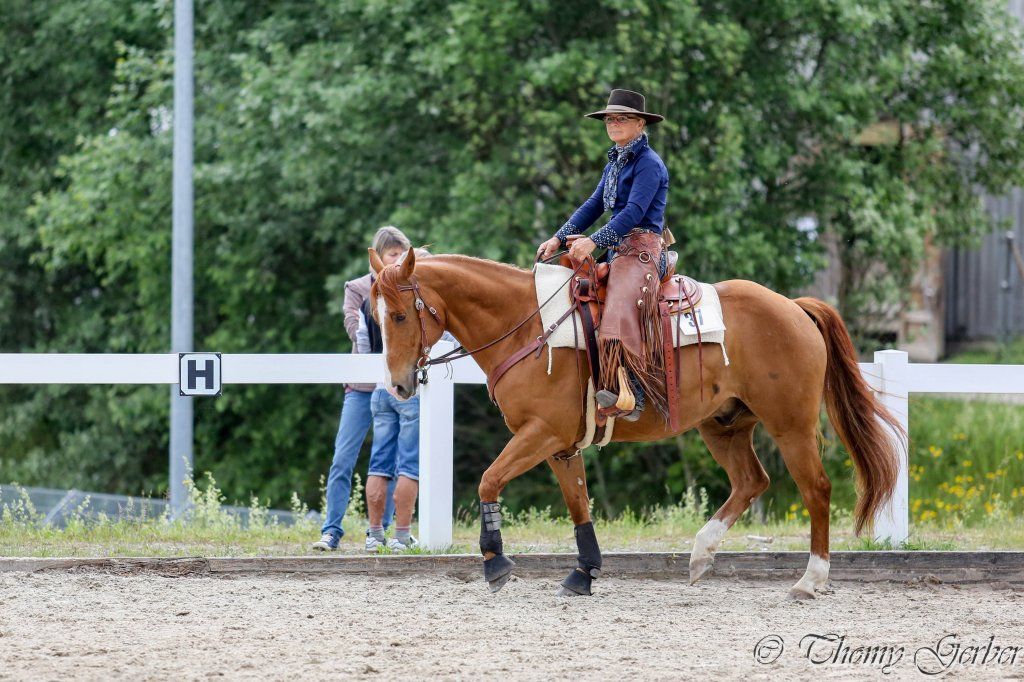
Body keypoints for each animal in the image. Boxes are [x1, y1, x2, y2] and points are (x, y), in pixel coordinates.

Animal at [368, 247, 902, 599]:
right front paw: (584, 573)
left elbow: (488, 480)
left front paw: (495, 562)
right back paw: (701, 555)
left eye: (399, 315)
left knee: (816, 489)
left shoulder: (540, 433)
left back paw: (811, 580)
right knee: (752, 481)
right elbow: (579, 505)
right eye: (376, 314)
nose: (397, 386)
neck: (528, 325)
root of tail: (794, 307)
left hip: (790, 426)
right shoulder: (560, 444)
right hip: (723, 425)